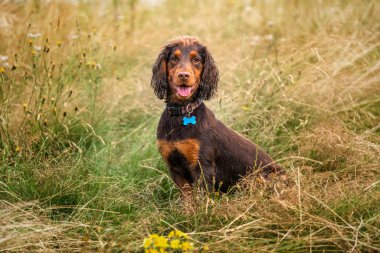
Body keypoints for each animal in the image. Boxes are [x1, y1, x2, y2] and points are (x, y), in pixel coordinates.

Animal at [150, 36, 284, 197]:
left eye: (196, 60)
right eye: (173, 59)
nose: (183, 75)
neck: (181, 112)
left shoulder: (203, 166)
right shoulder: (175, 167)